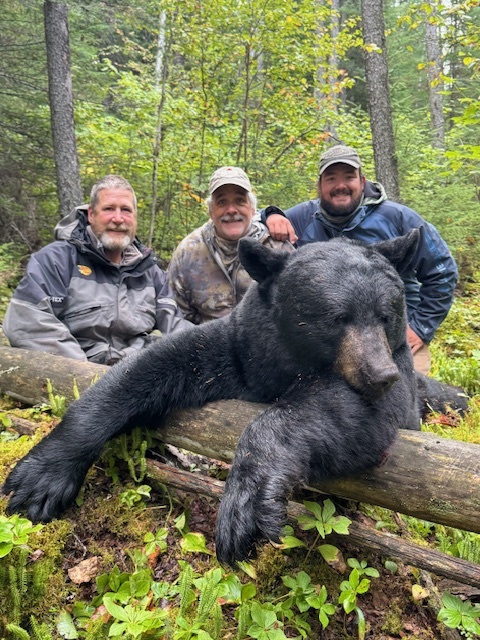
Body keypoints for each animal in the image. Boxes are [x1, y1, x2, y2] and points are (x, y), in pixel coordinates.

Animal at [2, 230, 466, 565]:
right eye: (338, 318)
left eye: (386, 315)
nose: (380, 374)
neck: (291, 361)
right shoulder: (241, 351)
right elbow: (149, 367)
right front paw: (39, 480)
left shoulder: (395, 381)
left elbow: (352, 412)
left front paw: (246, 505)